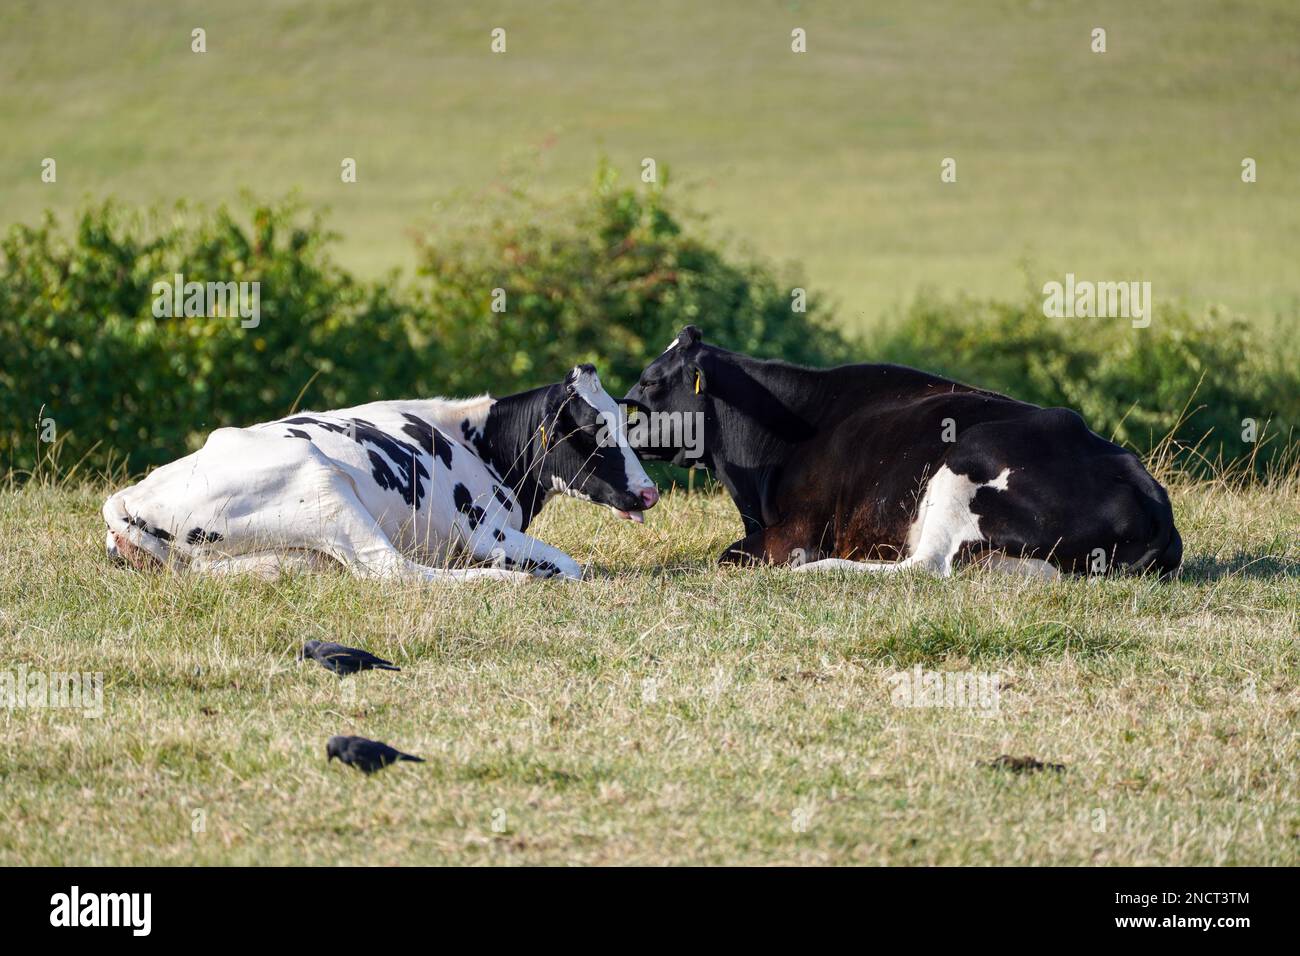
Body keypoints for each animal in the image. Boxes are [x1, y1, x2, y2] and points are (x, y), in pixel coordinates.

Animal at [103, 364, 659, 582]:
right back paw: (502, 581)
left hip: (282, 556)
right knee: (398, 572)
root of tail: (131, 497)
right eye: (591, 429)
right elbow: (569, 565)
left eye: (623, 421)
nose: (649, 493)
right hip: (324, 486)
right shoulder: (485, 531)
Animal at [624, 326, 1182, 579]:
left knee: (924, 566)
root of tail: (1143, 487)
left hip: (963, 462)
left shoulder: (795, 533)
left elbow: (728, 556)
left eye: (648, 383)